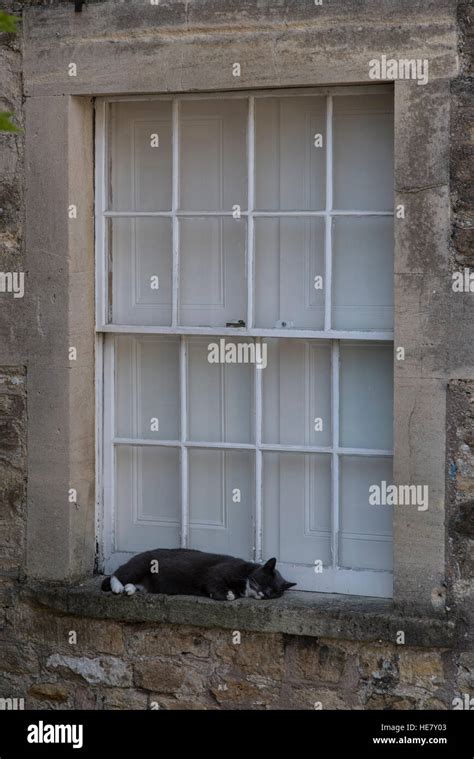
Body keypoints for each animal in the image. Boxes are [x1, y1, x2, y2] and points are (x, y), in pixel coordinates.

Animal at [101, 548, 296, 604]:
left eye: (273, 592)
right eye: (265, 581)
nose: (265, 593)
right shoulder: (216, 572)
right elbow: (214, 583)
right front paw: (228, 594)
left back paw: (129, 589)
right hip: (139, 565)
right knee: (117, 574)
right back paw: (118, 587)